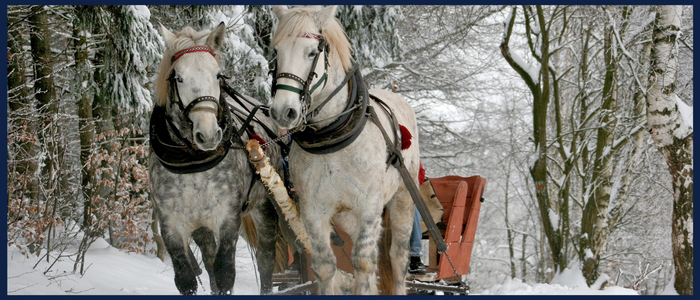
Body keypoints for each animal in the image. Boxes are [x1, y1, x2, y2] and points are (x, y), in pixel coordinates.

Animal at [268, 5, 422, 296]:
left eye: (312, 52)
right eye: (276, 51)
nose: (284, 112)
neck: (332, 138)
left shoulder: (370, 205)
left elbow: (363, 263)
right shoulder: (313, 209)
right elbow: (326, 265)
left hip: (403, 198)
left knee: (397, 257)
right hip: (346, 215)